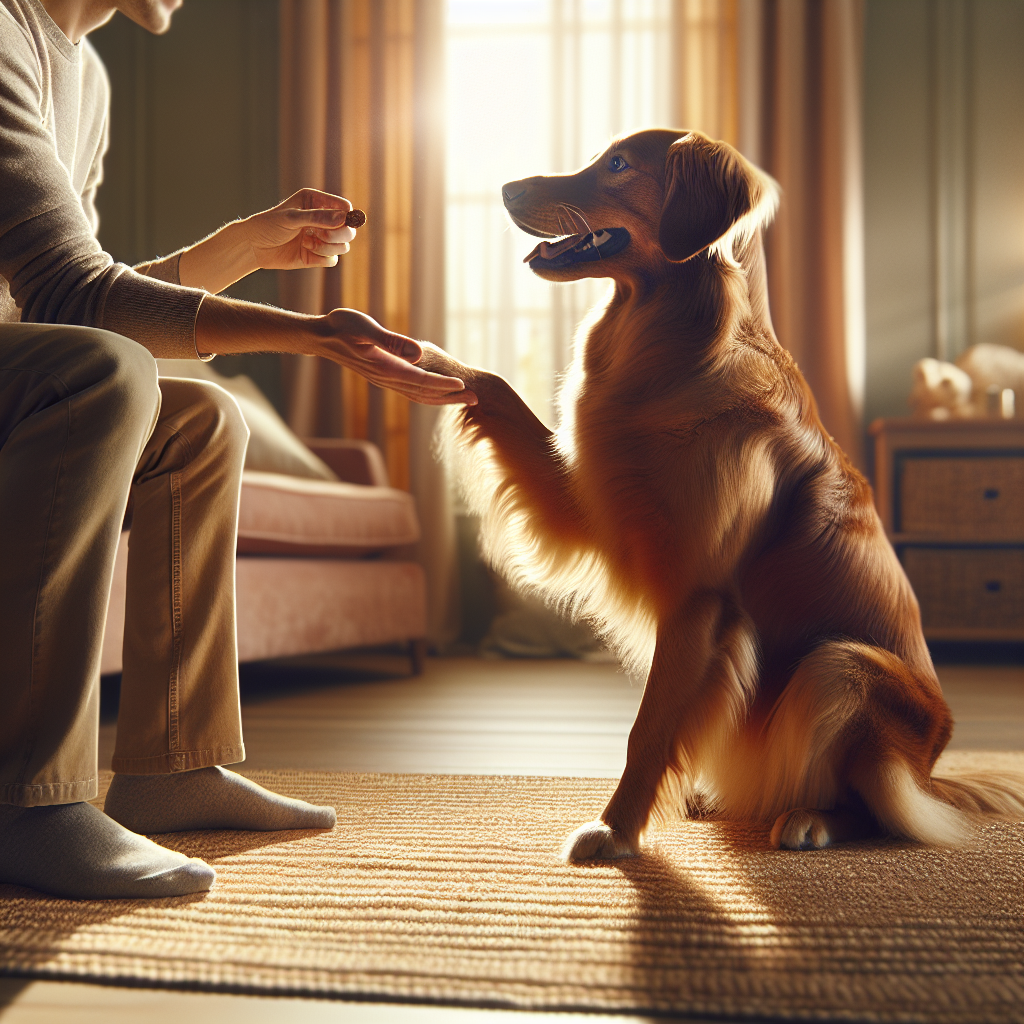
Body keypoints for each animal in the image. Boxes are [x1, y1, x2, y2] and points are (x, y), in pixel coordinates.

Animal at [415, 132, 1024, 860]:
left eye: (619, 165)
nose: (505, 189)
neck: (673, 347)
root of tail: (932, 771)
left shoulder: (699, 597)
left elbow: (648, 728)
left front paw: (617, 830)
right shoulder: (589, 506)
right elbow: (494, 385)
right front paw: (418, 358)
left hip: (842, 664)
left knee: (877, 806)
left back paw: (810, 819)